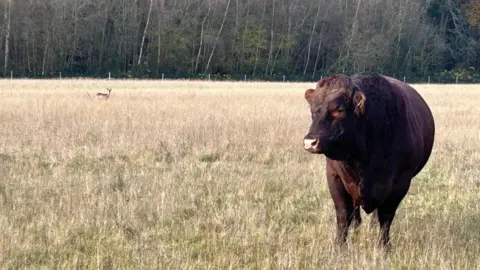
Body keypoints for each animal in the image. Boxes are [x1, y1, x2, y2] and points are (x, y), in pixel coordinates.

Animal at [304, 71, 436, 249]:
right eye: (313, 110)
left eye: (339, 109)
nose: (310, 142)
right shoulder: (334, 177)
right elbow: (343, 214)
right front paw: (339, 246)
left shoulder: (400, 183)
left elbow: (386, 217)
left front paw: (384, 247)